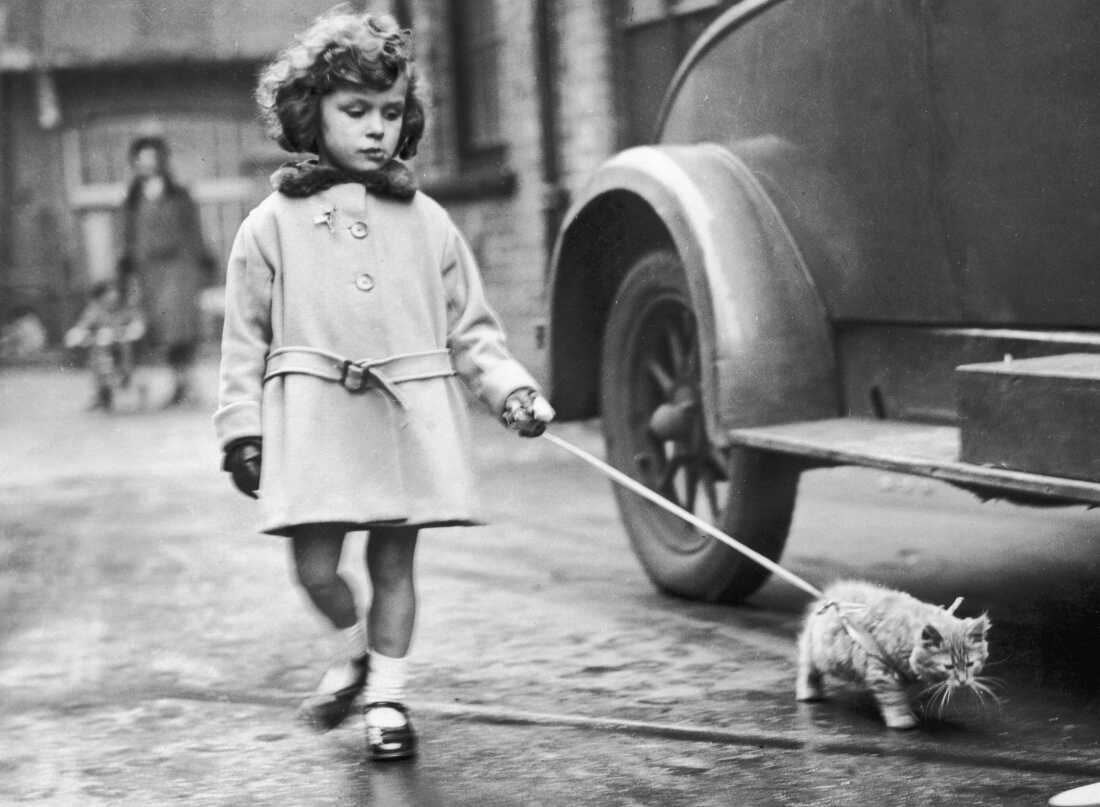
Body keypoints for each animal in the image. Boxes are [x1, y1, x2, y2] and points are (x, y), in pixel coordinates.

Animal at [796, 580, 994, 730]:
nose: (963, 681)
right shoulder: (880, 669)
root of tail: (831, 595)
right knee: (807, 668)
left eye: (970, 664)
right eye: (949, 667)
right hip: (816, 651)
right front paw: (902, 720)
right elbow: (894, 698)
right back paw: (808, 692)